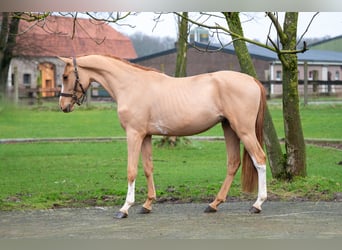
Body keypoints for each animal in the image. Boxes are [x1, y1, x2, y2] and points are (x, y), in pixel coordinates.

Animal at [58, 55, 268, 219]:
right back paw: (213, 204)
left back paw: (257, 204)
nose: (63, 105)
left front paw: (125, 208)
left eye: (65, 76)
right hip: (229, 128)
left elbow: (131, 170)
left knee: (260, 159)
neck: (130, 85)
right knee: (233, 163)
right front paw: (147, 205)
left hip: (243, 130)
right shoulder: (146, 136)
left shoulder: (134, 134)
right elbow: (148, 168)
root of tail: (252, 80)